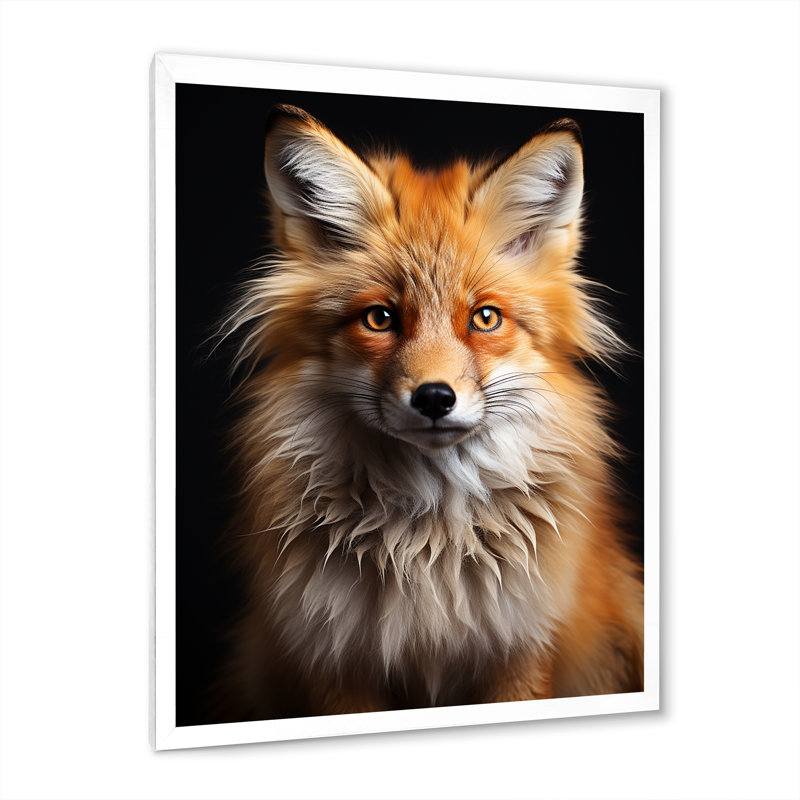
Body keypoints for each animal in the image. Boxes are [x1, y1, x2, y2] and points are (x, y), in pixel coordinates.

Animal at [214, 104, 643, 720]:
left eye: (485, 318)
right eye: (380, 318)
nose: (435, 398)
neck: (428, 547)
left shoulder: (522, 648)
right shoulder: (334, 658)